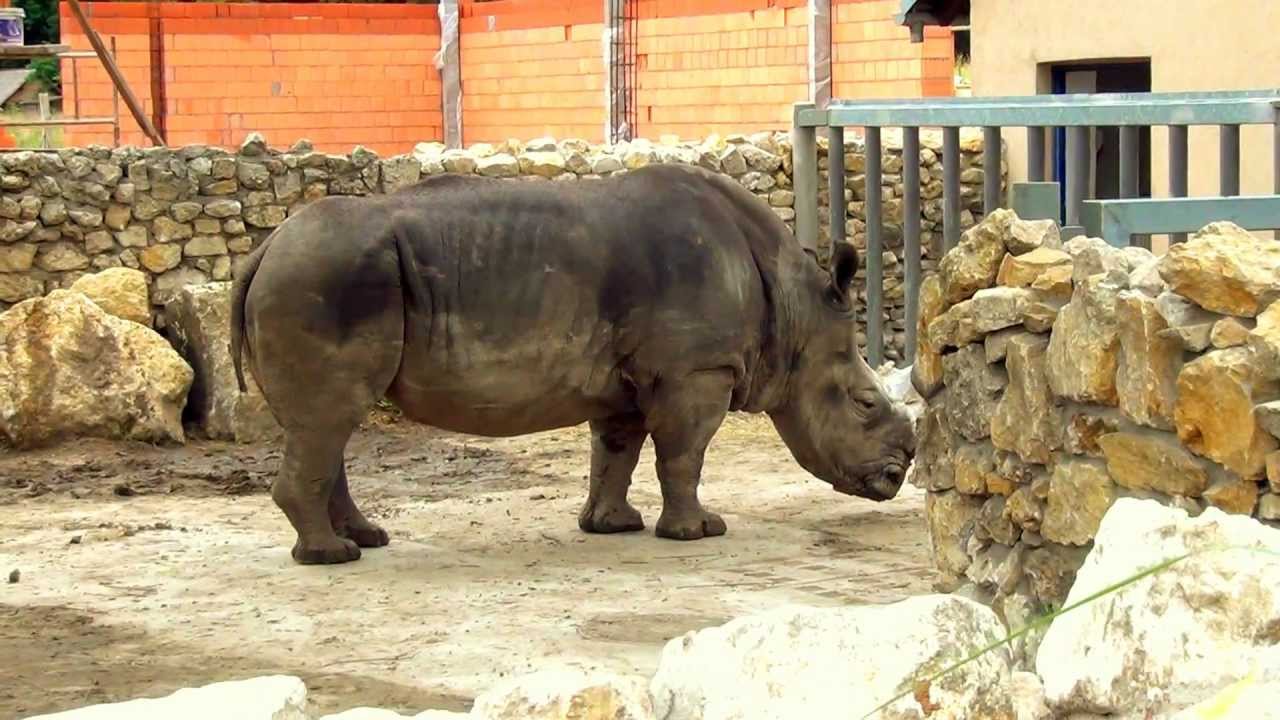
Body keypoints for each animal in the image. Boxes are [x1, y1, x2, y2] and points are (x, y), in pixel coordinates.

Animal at [230, 164, 916, 564]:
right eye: (865, 404)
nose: (901, 469)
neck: (795, 310)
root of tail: (263, 249)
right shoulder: (697, 370)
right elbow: (684, 453)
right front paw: (699, 533)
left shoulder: (632, 377)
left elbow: (616, 451)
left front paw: (611, 527)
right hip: (323, 277)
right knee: (329, 419)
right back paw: (331, 557)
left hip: (310, 273)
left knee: (326, 425)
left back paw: (365, 540)